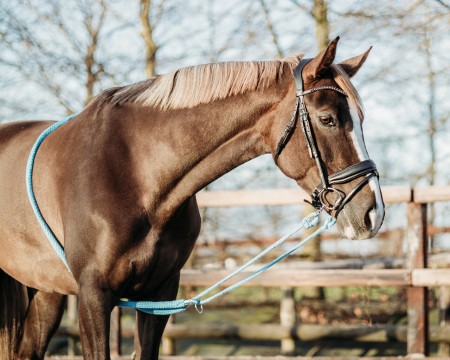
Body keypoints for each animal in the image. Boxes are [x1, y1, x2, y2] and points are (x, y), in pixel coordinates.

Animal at [0, 37, 384, 360]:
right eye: (327, 119)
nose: (373, 213)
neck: (136, 175)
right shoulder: (94, 296)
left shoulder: (159, 293)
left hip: (46, 291)